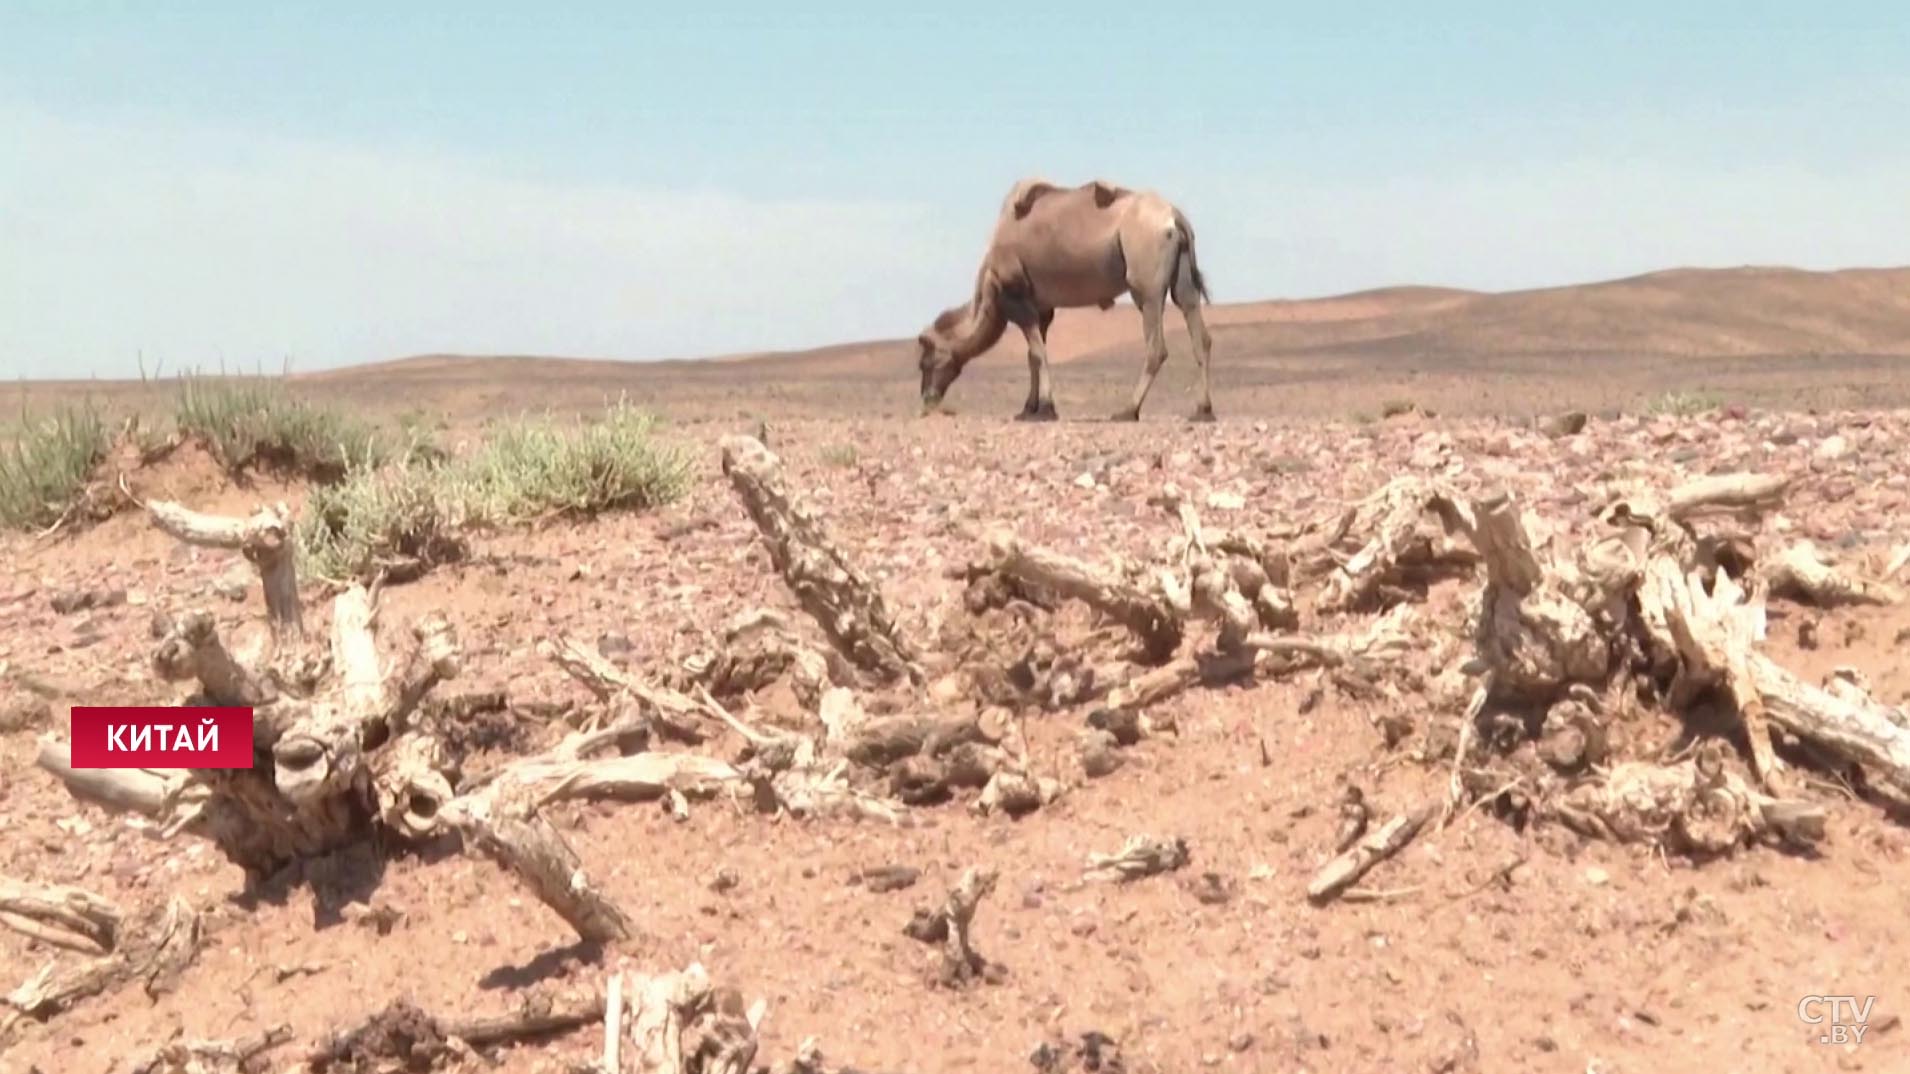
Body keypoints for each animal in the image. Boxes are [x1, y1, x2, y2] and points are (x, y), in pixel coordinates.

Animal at [912, 174, 1214, 418]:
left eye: (924, 362)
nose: (927, 398)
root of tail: (1175, 217)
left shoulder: (1018, 298)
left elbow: (1037, 354)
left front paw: (1045, 409)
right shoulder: (1042, 308)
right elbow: (1033, 355)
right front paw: (1028, 409)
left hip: (1146, 282)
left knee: (1156, 345)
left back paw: (1127, 410)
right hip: (1181, 276)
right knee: (1198, 328)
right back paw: (1203, 410)